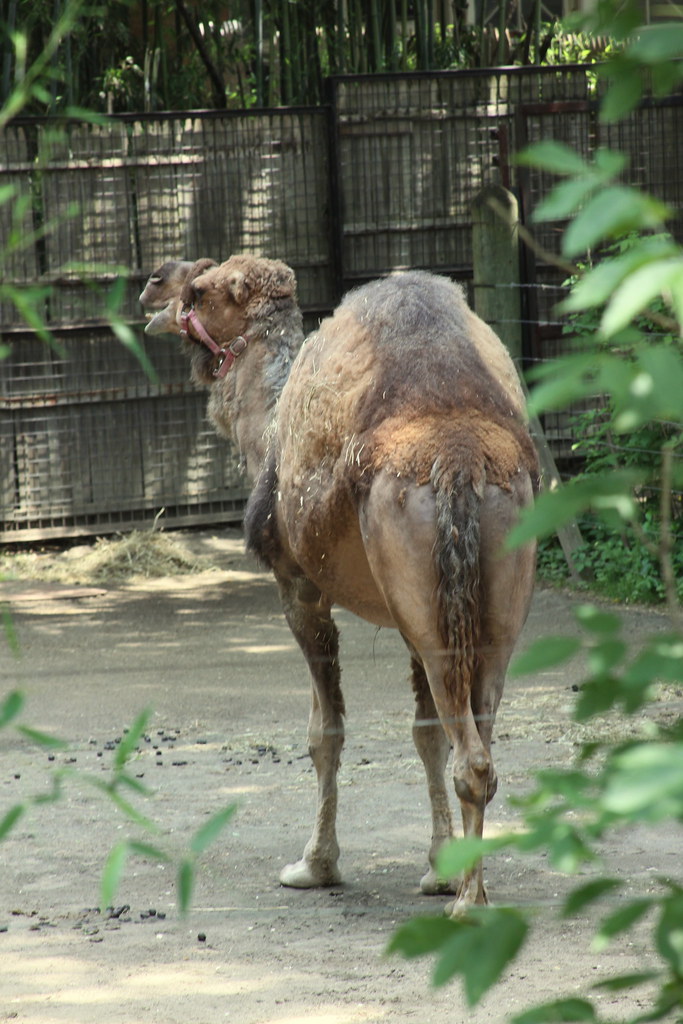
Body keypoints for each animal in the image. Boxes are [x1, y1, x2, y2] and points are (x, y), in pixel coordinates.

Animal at [141, 254, 539, 911]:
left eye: (198, 287)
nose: (153, 284)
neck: (267, 427)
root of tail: (456, 456)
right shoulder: (407, 613)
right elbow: (424, 733)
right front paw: (437, 867)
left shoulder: (298, 584)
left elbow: (323, 731)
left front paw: (314, 865)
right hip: (493, 582)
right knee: (479, 729)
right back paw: (468, 888)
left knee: (472, 757)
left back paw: (467, 905)